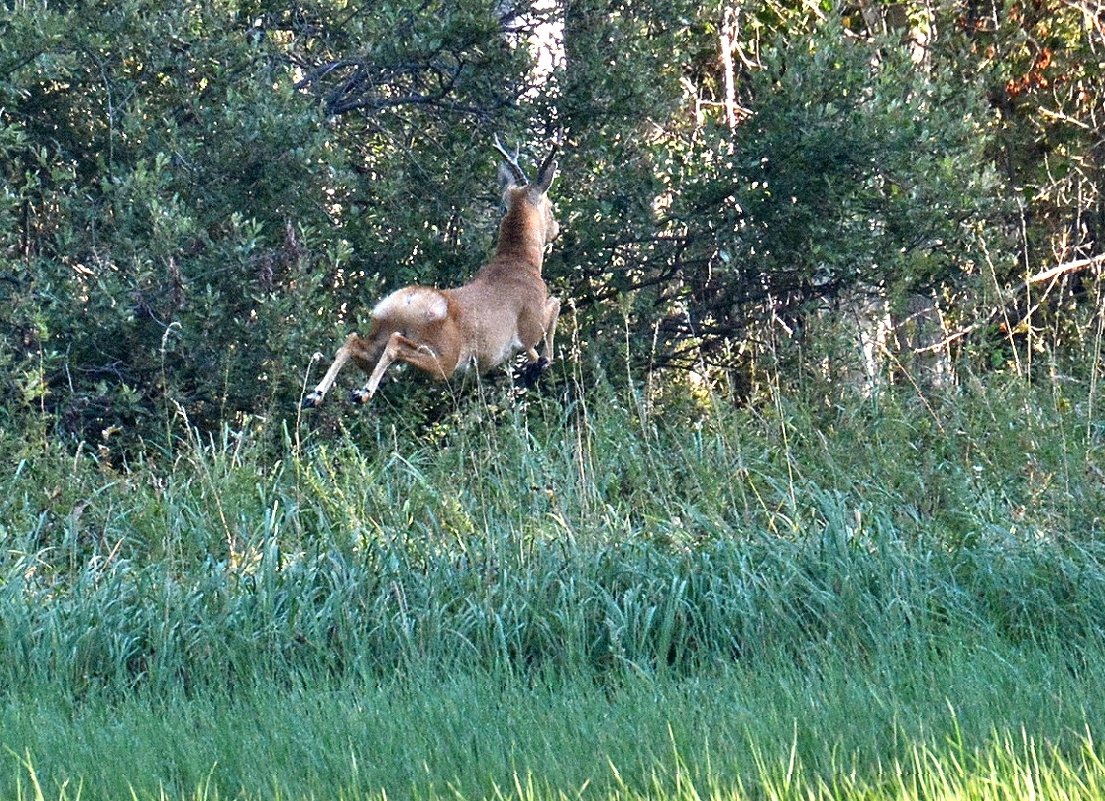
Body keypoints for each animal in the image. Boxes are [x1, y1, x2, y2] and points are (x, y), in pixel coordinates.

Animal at [300, 135, 561, 408]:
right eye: (551, 206)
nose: (557, 229)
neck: (521, 263)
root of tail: (406, 301)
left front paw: (535, 366)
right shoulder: (530, 324)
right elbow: (556, 305)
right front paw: (543, 362)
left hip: (379, 339)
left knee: (352, 342)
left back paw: (314, 395)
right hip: (445, 355)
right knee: (396, 344)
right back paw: (362, 392)